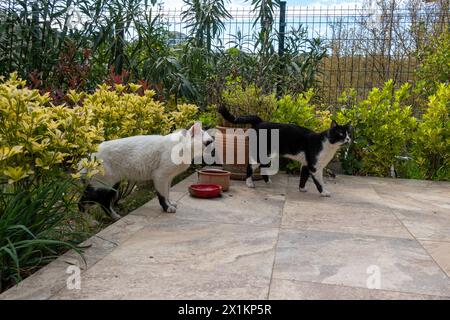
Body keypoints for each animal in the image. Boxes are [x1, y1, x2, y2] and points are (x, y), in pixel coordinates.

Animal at [78, 121, 214, 221]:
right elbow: (162, 195)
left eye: (211, 142)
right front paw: (167, 208)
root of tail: (87, 156)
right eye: (207, 143)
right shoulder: (160, 176)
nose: (213, 150)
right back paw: (89, 221)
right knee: (84, 202)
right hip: (102, 185)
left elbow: (168, 193)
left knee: (103, 202)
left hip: (112, 185)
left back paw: (114, 216)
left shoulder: (168, 178)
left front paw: (170, 204)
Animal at [218, 105, 352, 196]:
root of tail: (260, 121)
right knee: (250, 166)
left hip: (267, 154)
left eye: (349, 134)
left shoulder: (306, 164)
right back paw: (249, 183)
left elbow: (303, 177)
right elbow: (319, 182)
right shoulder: (315, 167)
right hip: (260, 154)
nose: (348, 139)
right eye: (341, 134)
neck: (328, 145)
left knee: (262, 167)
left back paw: (268, 182)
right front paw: (324, 192)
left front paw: (302, 189)